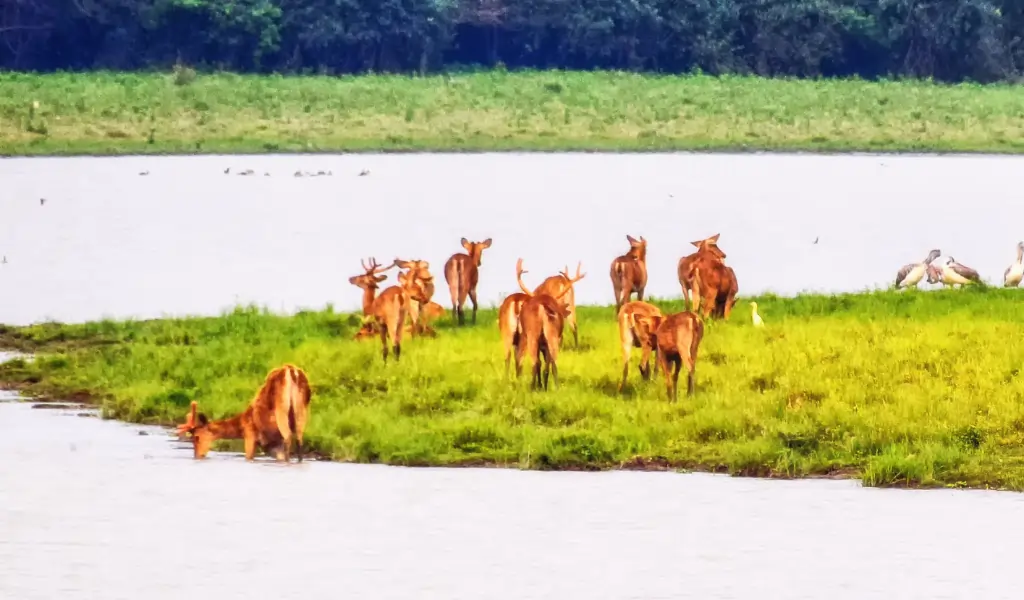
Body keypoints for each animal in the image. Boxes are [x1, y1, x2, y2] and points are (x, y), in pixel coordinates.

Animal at [175, 364, 312, 462]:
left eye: (196, 437)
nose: (198, 456)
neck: (241, 423)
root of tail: (292, 371)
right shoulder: (272, 445)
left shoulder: (250, 435)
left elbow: (248, 457)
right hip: (302, 409)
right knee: (299, 440)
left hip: (281, 407)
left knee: (288, 437)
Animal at [514, 259, 586, 390]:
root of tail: (542, 306)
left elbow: (539, 362)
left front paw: (539, 385)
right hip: (554, 332)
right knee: (554, 361)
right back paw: (555, 387)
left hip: (532, 335)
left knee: (536, 362)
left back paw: (533, 387)